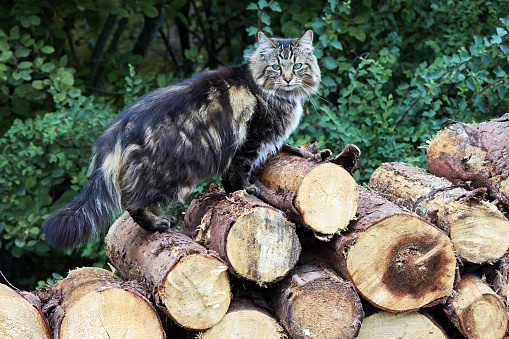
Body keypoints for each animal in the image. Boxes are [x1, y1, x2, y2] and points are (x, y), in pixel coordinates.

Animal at [44, 30, 322, 251]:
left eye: (297, 66)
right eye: (276, 67)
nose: (288, 78)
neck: (274, 94)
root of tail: (117, 130)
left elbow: (227, 178)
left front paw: (232, 193)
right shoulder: (250, 141)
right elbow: (238, 172)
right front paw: (245, 190)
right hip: (168, 173)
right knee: (133, 204)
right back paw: (159, 223)